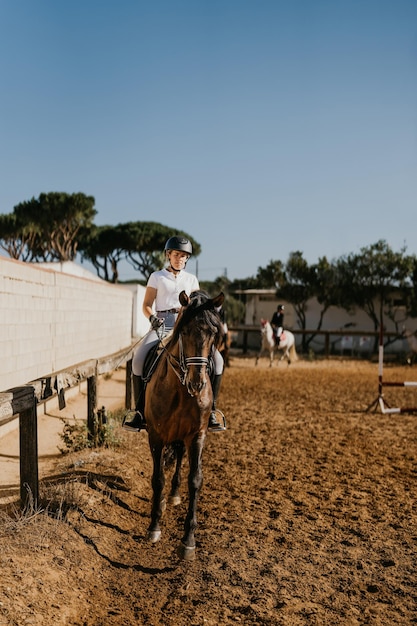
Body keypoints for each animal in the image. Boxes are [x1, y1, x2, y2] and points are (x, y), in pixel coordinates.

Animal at [143, 286, 224, 556]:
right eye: (185, 331)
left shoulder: (197, 435)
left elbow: (195, 480)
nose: (197, 383)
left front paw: (188, 539)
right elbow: (158, 478)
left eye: (213, 333)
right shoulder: (156, 435)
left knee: (179, 457)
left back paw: (175, 495)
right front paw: (154, 526)